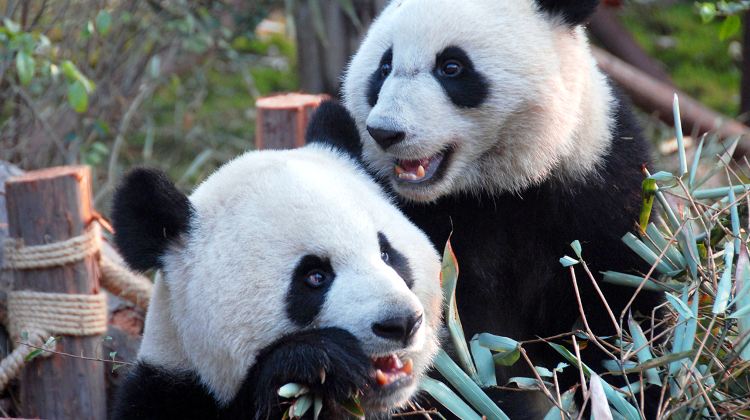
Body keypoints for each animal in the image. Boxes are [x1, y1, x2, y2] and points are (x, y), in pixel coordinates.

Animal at [309, 0, 661, 417]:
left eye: (451, 67)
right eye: (384, 67)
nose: (385, 132)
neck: (492, 189)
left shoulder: (596, 182)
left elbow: (620, 305)